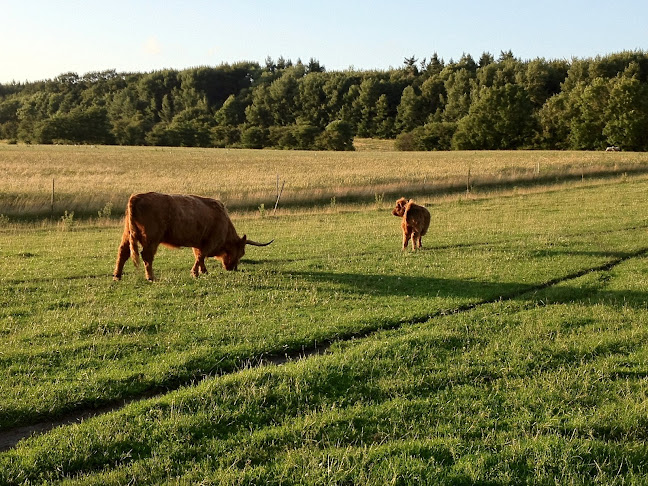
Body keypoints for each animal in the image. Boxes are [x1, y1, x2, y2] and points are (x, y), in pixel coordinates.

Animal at [112, 191, 272, 280]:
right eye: (241, 253)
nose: (233, 268)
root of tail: (136, 197)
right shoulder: (209, 242)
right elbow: (201, 256)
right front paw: (195, 273)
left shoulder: (198, 243)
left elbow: (199, 256)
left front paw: (203, 271)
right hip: (151, 238)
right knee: (146, 256)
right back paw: (151, 277)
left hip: (127, 234)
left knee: (123, 252)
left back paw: (117, 276)